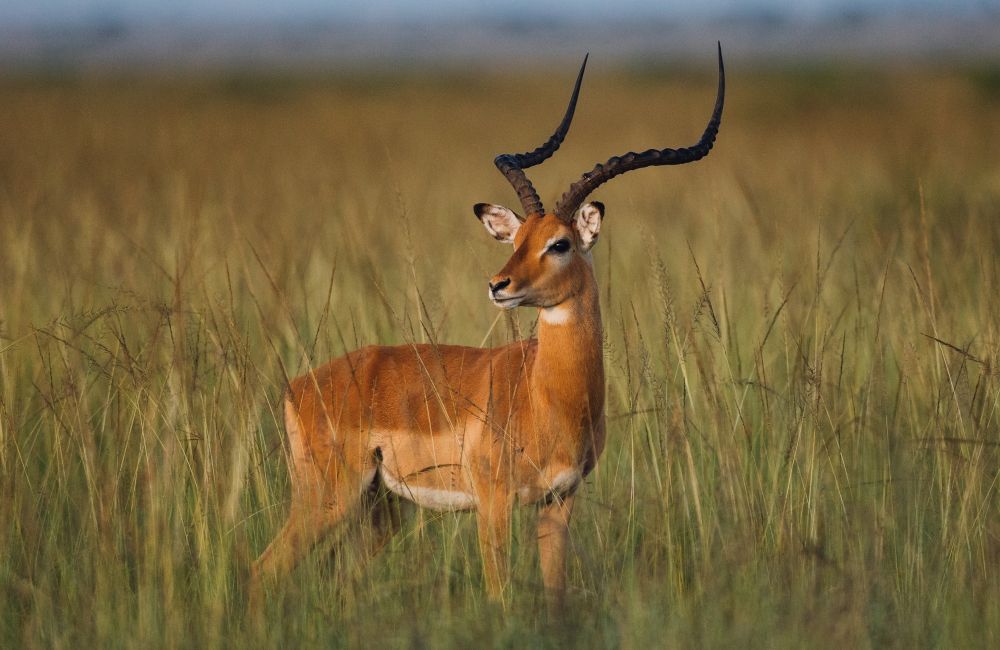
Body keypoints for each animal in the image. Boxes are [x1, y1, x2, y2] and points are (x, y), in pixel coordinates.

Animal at [254, 45, 724, 608]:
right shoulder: (493, 503)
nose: (499, 285)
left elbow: (555, 594)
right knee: (261, 568)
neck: (547, 395)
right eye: (517, 239)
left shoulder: (559, 501)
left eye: (559, 243)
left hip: (380, 507)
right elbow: (499, 594)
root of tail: (299, 384)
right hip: (330, 497)